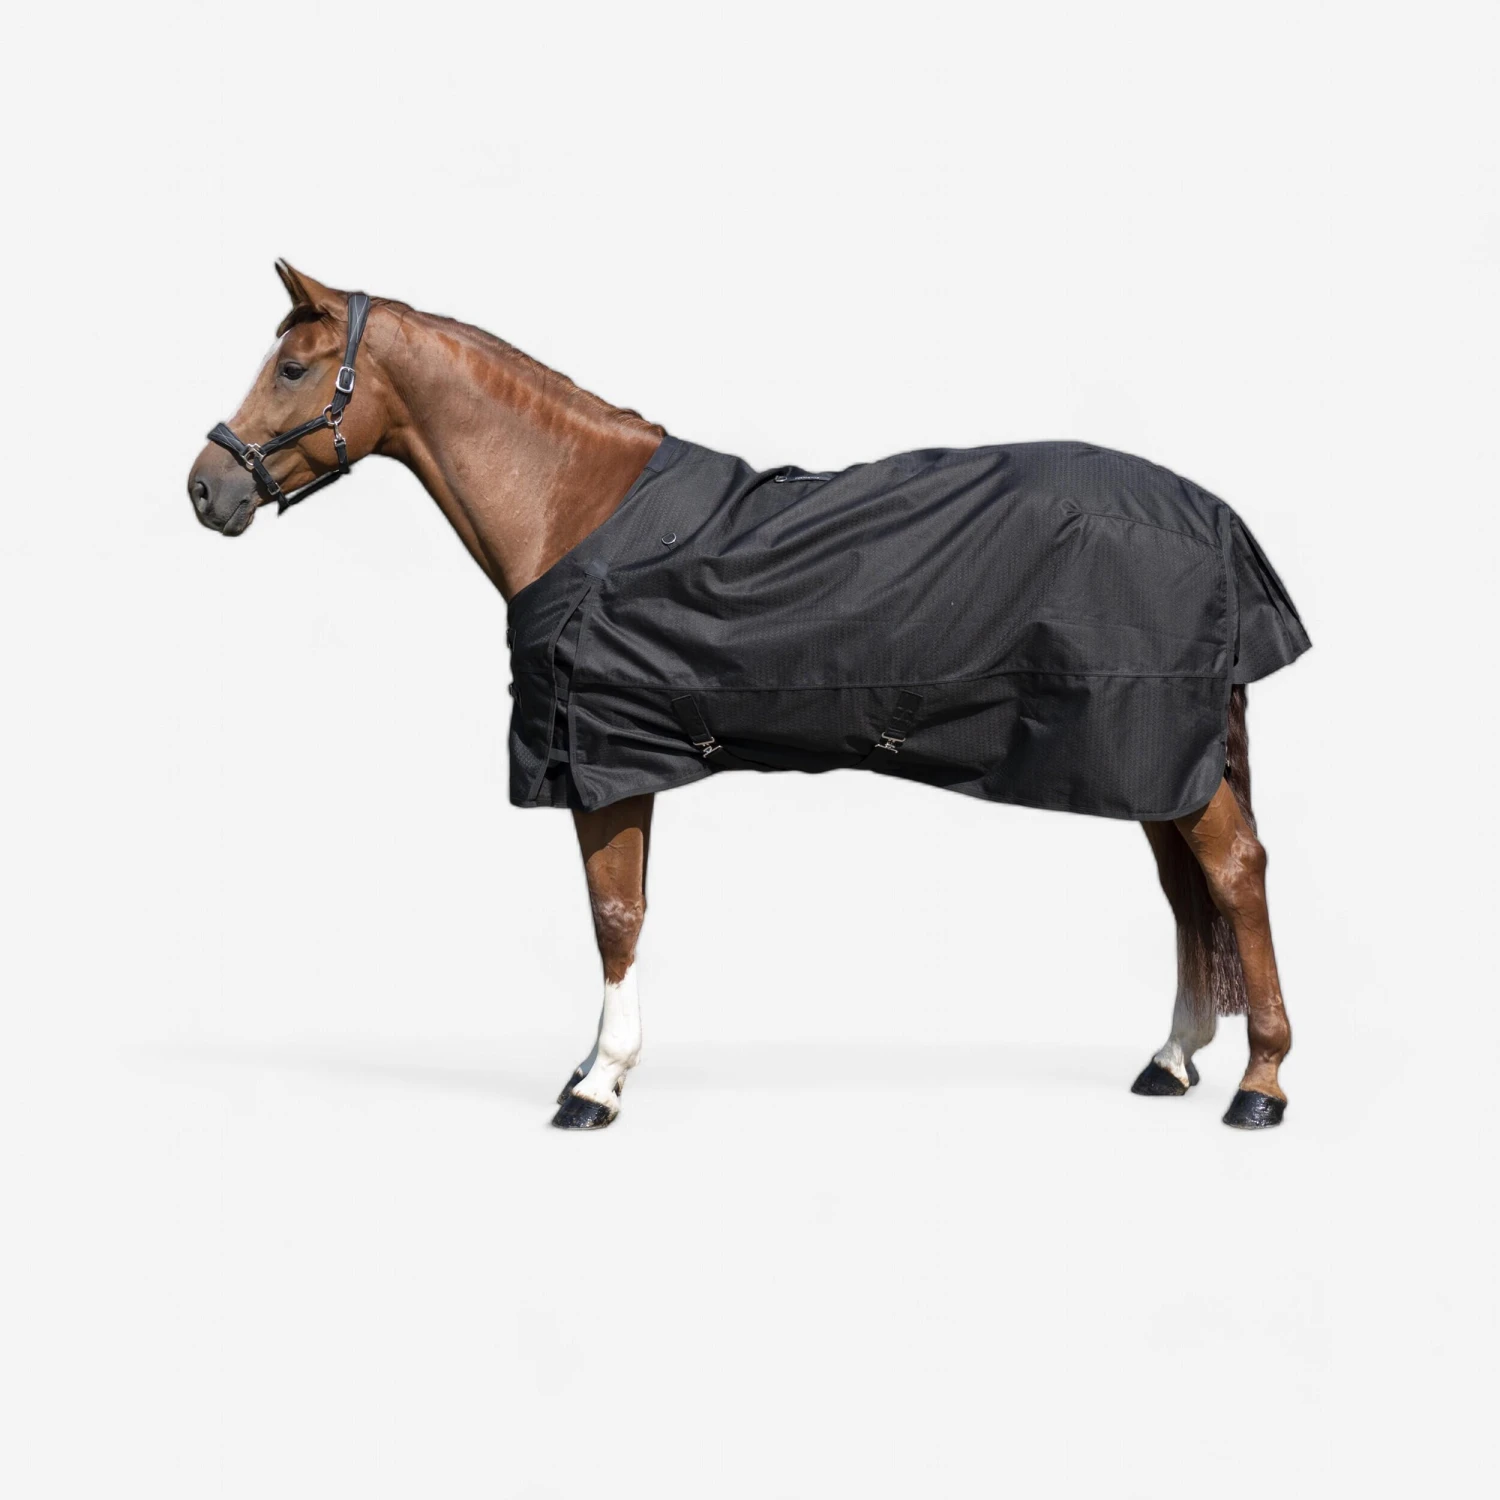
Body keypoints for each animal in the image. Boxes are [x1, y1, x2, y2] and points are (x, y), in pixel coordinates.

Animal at [187, 261, 1305, 1132]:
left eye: (292, 369)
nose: (205, 488)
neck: (573, 506)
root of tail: (1211, 515)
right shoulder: (622, 758)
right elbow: (625, 910)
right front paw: (595, 1065)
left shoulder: (602, 756)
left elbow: (615, 914)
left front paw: (598, 1084)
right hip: (1153, 757)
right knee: (1187, 891)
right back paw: (1172, 1058)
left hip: (1159, 742)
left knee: (1235, 873)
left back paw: (1260, 1083)